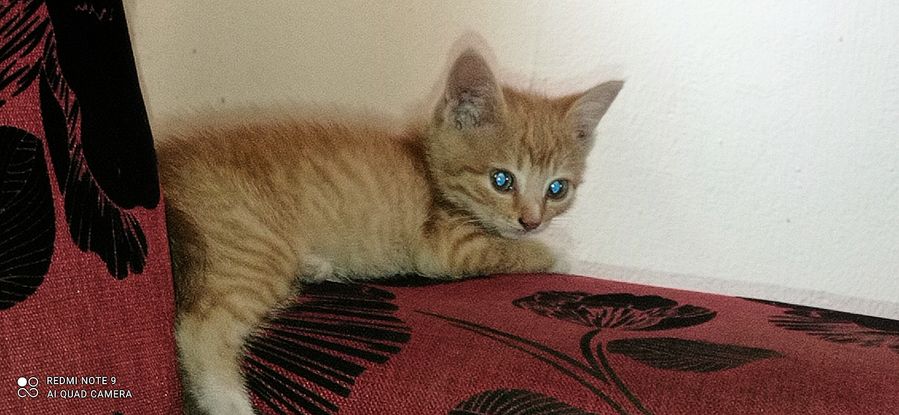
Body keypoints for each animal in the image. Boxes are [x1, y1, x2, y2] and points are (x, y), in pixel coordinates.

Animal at [156, 49, 623, 415]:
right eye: (502, 180)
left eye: (557, 189)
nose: (531, 221)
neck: (432, 172)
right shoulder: (445, 247)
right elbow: (512, 250)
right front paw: (565, 252)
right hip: (252, 245)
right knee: (200, 330)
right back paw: (229, 402)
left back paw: (317, 266)